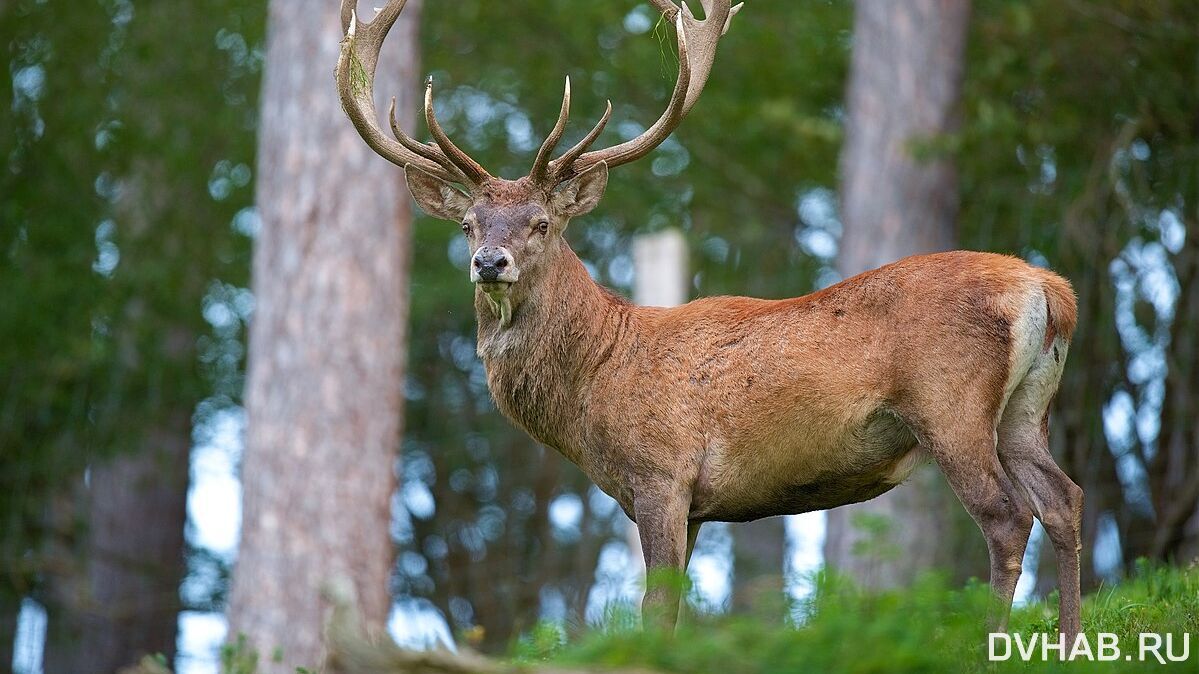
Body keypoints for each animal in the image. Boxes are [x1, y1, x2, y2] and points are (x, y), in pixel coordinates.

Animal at [333, 0, 1083, 638]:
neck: (596, 379)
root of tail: (1048, 288)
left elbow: (656, 610)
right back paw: (1069, 640)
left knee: (1007, 516)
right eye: (468, 224)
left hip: (949, 403)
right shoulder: (690, 503)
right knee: (1063, 499)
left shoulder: (660, 474)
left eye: (541, 222)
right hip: (1024, 410)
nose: (490, 262)